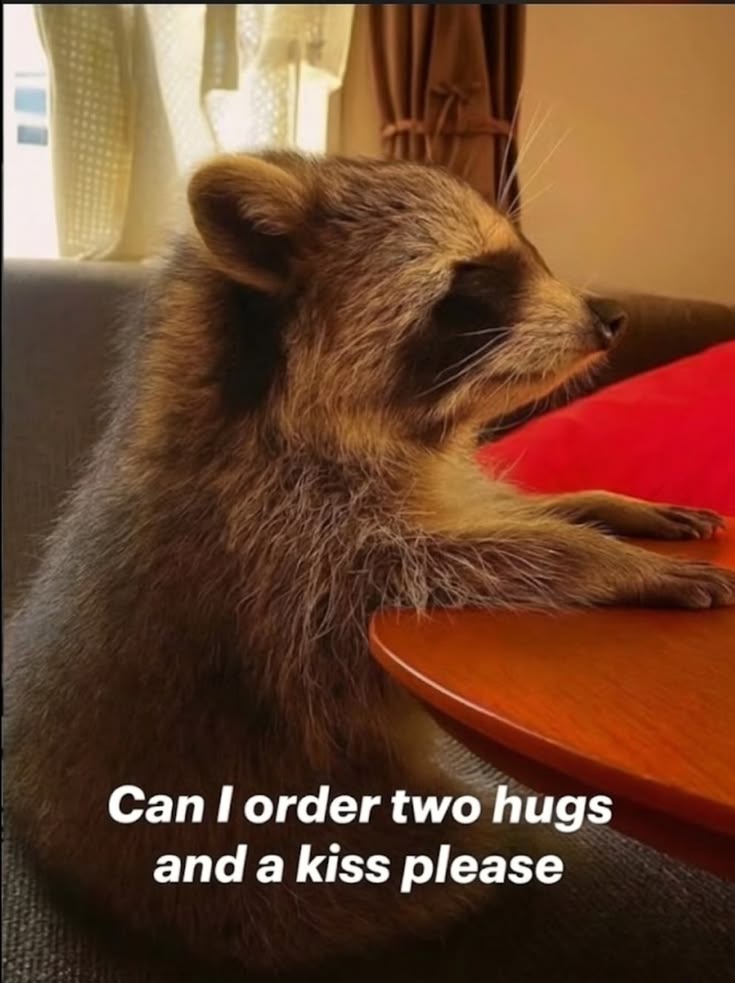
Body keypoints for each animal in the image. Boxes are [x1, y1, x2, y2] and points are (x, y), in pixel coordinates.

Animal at [5, 152, 734, 974]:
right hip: (306, 889)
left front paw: (601, 505)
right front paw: (595, 558)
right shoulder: (277, 551)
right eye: (475, 277)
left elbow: (477, 507)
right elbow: (433, 571)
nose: (611, 315)